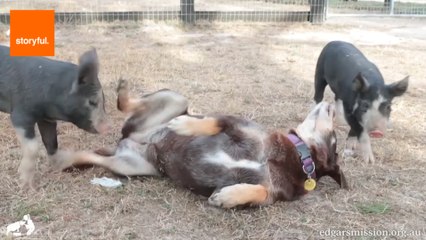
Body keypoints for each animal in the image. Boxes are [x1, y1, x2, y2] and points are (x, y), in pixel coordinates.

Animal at [59, 80, 346, 208]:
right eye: (335, 133)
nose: (331, 104)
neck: (297, 157)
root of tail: (133, 139)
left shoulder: (271, 194)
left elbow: (259, 192)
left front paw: (227, 197)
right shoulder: (236, 125)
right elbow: (214, 122)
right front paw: (184, 126)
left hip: (128, 166)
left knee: (90, 156)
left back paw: (64, 159)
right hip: (175, 98)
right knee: (128, 105)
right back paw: (125, 93)